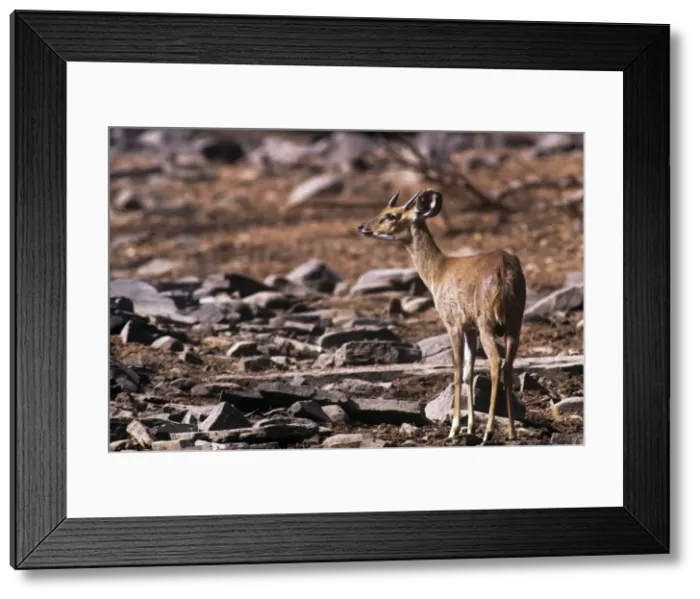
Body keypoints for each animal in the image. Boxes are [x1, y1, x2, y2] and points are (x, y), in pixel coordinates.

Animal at [358, 189, 527, 444]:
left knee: (497, 363)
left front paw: (455, 429)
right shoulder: (470, 328)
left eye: (392, 215)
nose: (363, 227)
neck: (438, 271)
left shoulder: (453, 323)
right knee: (508, 366)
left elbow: (456, 370)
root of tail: (504, 270)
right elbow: (468, 372)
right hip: (515, 322)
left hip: (488, 322)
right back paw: (511, 432)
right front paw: (470, 428)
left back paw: (489, 432)